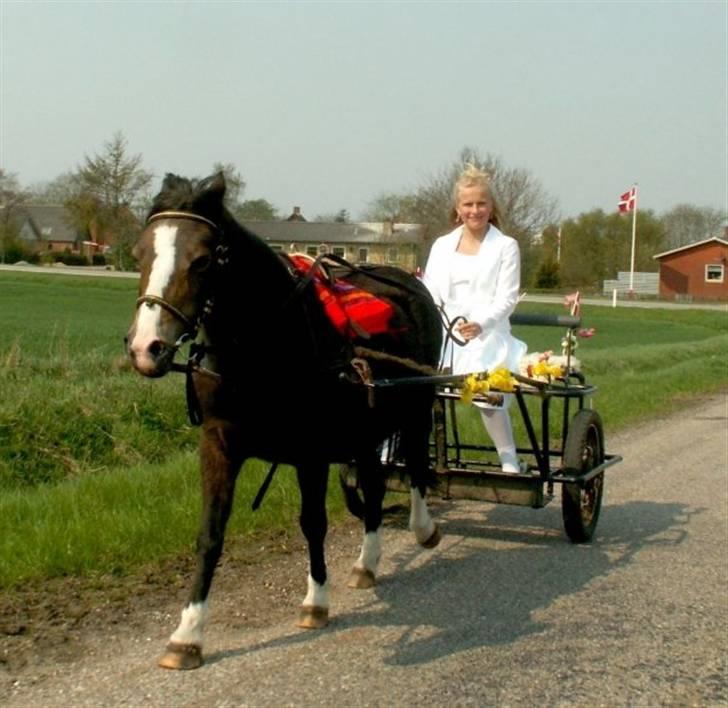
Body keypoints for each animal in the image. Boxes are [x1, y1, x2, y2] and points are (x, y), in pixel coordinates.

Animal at [126, 171, 444, 668]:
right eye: (139, 253)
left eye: (202, 260)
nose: (146, 348)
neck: (262, 347)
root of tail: (410, 283)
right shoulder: (218, 444)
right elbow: (210, 534)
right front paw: (187, 634)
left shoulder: (311, 451)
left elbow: (313, 522)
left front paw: (316, 601)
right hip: (365, 426)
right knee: (373, 485)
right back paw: (367, 562)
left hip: (415, 405)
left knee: (413, 465)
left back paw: (423, 528)